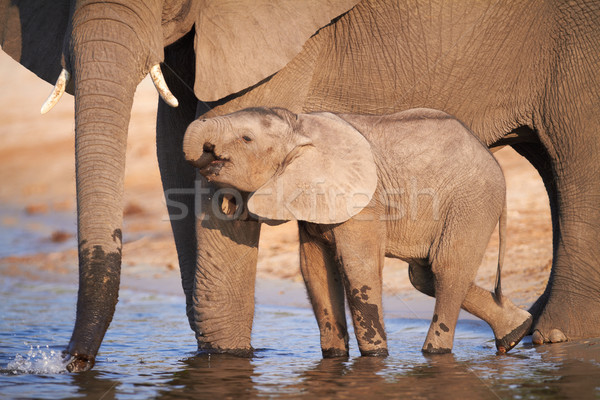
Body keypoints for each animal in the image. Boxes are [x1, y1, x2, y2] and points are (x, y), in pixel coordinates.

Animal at [183, 106, 528, 356]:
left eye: (246, 139)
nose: (228, 203)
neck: (300, 125)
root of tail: (494, 162)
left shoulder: (364, 203)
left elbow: (358, 268)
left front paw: (375, 359)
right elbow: (315, 269)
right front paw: (335, 358)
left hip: (471, 201)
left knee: (447, 269)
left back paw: (434, 353)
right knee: (425, 275)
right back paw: (516, 332)